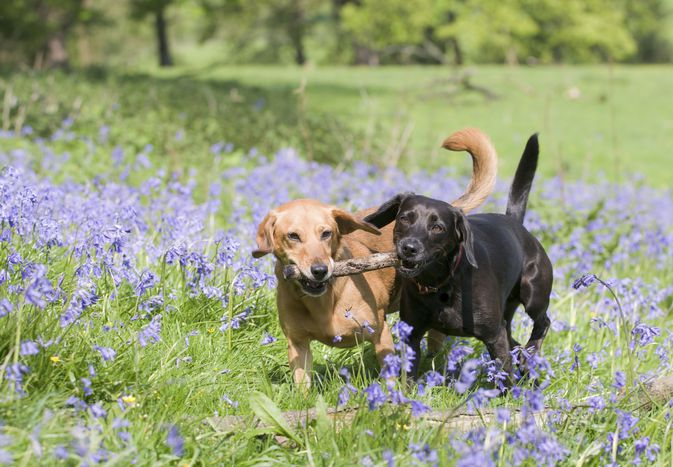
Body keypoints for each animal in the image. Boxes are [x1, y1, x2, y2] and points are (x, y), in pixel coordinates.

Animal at [255, 128, 496, 388]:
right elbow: (302, 386)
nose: (319, 271)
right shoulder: (298, 345)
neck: (325, 301)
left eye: (326, 233)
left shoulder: (380, 333)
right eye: (293, 236)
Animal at [368, 134, 552, 380]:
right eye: (404, 218)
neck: (441, 284)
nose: (409, 248)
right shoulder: (412, 336)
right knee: (516, 343)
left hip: (533, 294)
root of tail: (516, 224)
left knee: (542, 322)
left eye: (437, 227)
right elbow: (408, 374)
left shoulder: (494, 335)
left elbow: (504, 374)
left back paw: (530, 355)